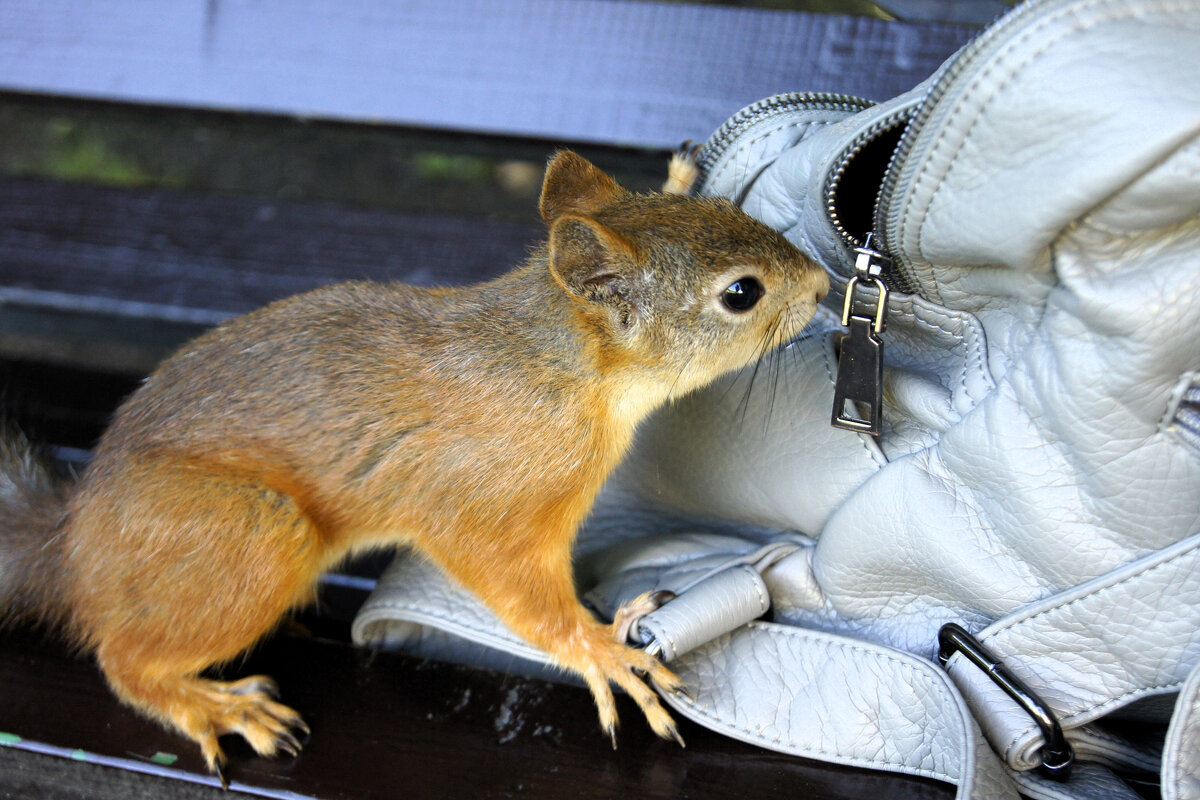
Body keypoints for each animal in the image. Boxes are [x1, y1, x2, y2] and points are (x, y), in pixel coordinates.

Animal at [0, 148, 830, 782]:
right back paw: (212, 703)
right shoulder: (490, 500)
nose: (825, 284)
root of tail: (72, 543)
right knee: (124, 658)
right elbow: (516, 588)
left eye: (727, 208)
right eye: (741, 294)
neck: (562, 366)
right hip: (247, 533)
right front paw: (601, 649)